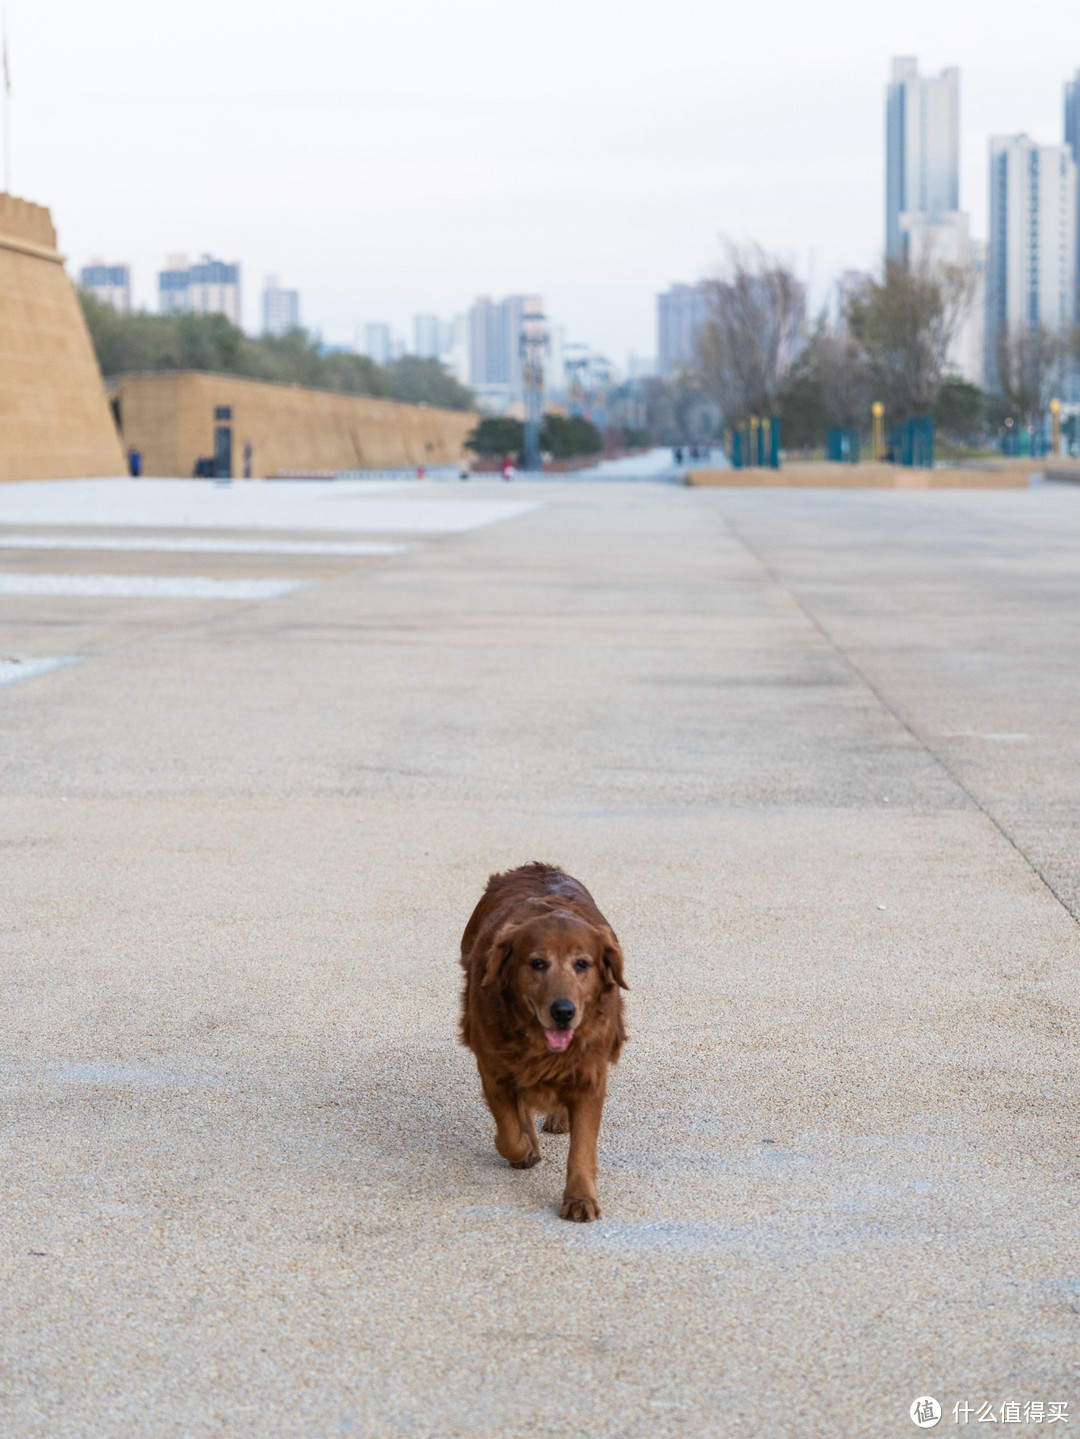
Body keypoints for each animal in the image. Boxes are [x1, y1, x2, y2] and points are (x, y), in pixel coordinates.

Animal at [460, 857, 629, 1220]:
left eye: (583, 964)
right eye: (537, 963)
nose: (563, 1011)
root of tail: (535, 866)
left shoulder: (590, 1076)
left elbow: (581, 1148)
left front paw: (580, 1198)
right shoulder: (494, 1069)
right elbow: (509, 1130)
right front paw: (524, 1149)